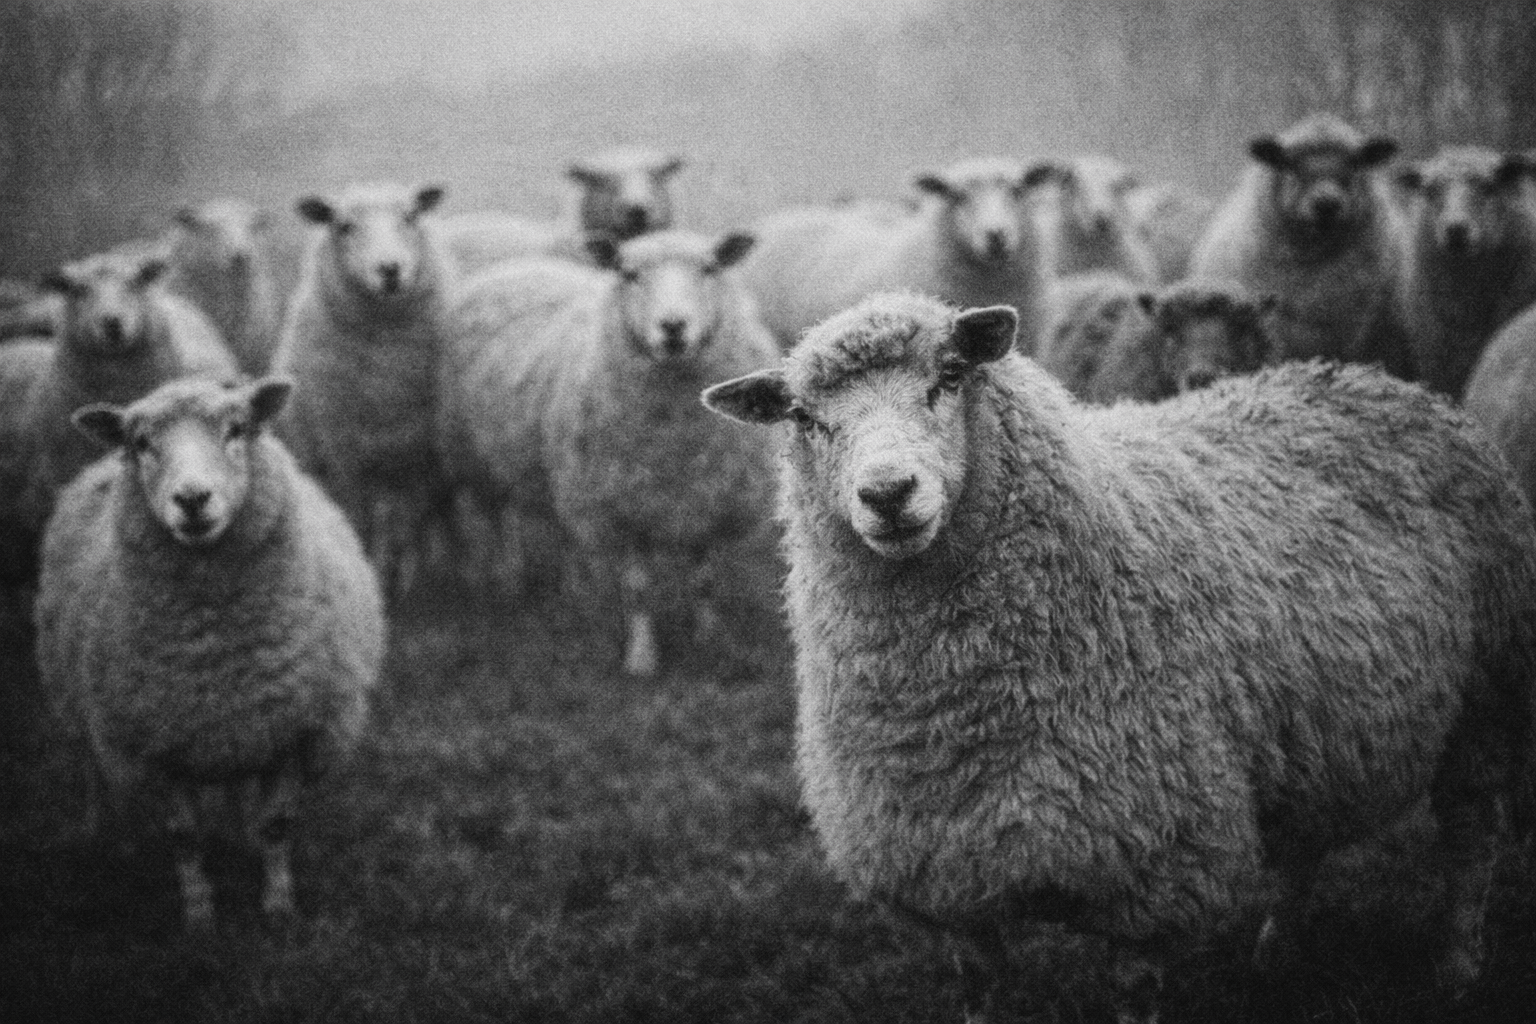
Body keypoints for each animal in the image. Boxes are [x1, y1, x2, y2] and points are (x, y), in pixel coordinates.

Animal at [33, 375, 384, 933]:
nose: (193, 498)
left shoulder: (292, 730)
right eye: (141, 443)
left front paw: (278, 907)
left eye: (236, 429)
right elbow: (184, 836)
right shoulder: (155, 745)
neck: (213, 648)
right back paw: (100, 838)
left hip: (241, 729)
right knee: (90, 768)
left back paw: (241, 839)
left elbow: (276, 824)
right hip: (74, 701)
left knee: (241, 789)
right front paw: (199, 917)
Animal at [271, 181, 453, 602]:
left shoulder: (419, 455)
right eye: (344, 226)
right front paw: (373, 574)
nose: (389, 269)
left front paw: (403, 584)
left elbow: (408, 528)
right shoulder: (344, 453)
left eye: (410, 217)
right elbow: (360, 523)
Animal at [438, 229, 780, 676]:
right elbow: (637, 589)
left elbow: (705, 580)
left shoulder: (708, 498)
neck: (676, 438)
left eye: (709, 268)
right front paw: (642, 657)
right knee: (500, 517)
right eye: (629, 273)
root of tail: (518, 266)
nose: (673, 327)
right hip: (477, 456)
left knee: (561, 529)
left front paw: (710, 638)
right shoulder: (621, 508)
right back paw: (509, 578)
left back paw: (577, 591)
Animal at [701, 292, 1536, 1024]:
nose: (887, 493)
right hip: (1315, 725)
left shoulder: (1150, 860)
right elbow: (978, 986)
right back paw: (1275, 953)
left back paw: (1458, 968)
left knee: (1472, 839)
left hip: (1487, 696)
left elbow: (1135, 991)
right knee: (1306, 840)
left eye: (949, 378)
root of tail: (1374, 378)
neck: (950, 715)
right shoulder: (944, 869)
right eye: (806, 418)